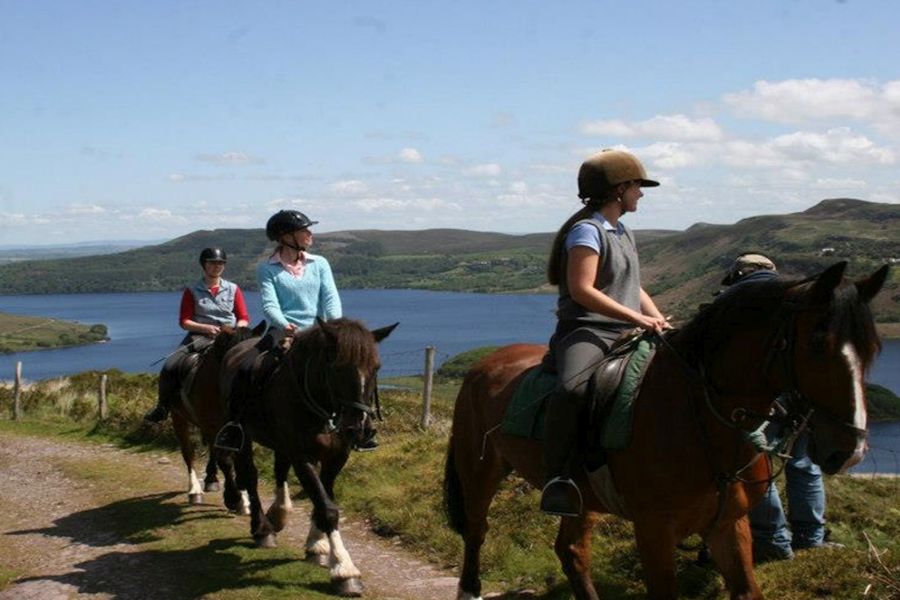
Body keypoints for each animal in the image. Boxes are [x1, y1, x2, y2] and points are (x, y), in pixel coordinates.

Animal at [169, 324, 266, 510]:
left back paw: (211, 479)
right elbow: (226, 461)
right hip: (179, 418)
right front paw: (233, 498)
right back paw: (195, 490)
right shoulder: (212, 425)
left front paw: (243, 498)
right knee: (188, 452)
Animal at [220, 316, 396, 596]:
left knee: (279, 471)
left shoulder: (336, 457)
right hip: (243, 437)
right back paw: (263, 529)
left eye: (376, 367)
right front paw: (345, 570)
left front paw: (316, 545)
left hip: (281, 444)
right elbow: (327, 508)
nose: (359, 429)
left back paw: (278, 513)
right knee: (250, 477)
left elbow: (323, 499)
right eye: (338, 367)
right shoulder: (302, 456)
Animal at [442, 262, 884, 600]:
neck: (701, 419)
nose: (850, 451)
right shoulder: (654, 530)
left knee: (571, 551)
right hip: (480, 470)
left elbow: (746, 589)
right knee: (477, 530)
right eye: (817, 343)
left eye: (873, 348)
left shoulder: (728, 525)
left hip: (578, 497)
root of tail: (487, 363)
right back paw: (470, 588)